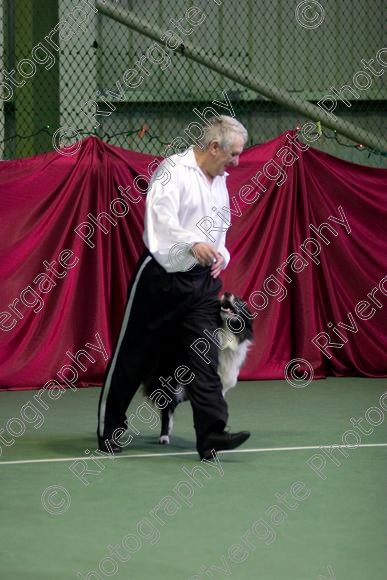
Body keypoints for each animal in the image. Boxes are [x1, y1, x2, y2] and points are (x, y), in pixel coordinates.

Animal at [142, 292, 255, 446]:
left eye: (240, 300)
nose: (227, 293)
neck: (225, 334)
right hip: (171, 378)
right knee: (167, 407)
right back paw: (164, 436)